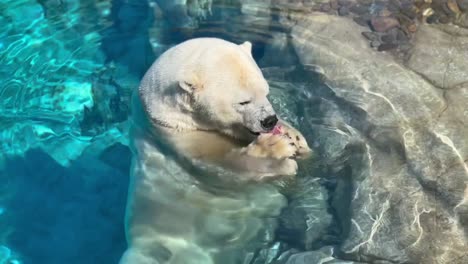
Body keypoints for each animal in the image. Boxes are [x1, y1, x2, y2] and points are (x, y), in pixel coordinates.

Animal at [120, 37, 310, 264]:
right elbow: (223, 166)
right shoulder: (176, 140)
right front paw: (277, 149)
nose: (269, 120)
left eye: (266, 92)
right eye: (243, 101)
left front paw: (295, 138)